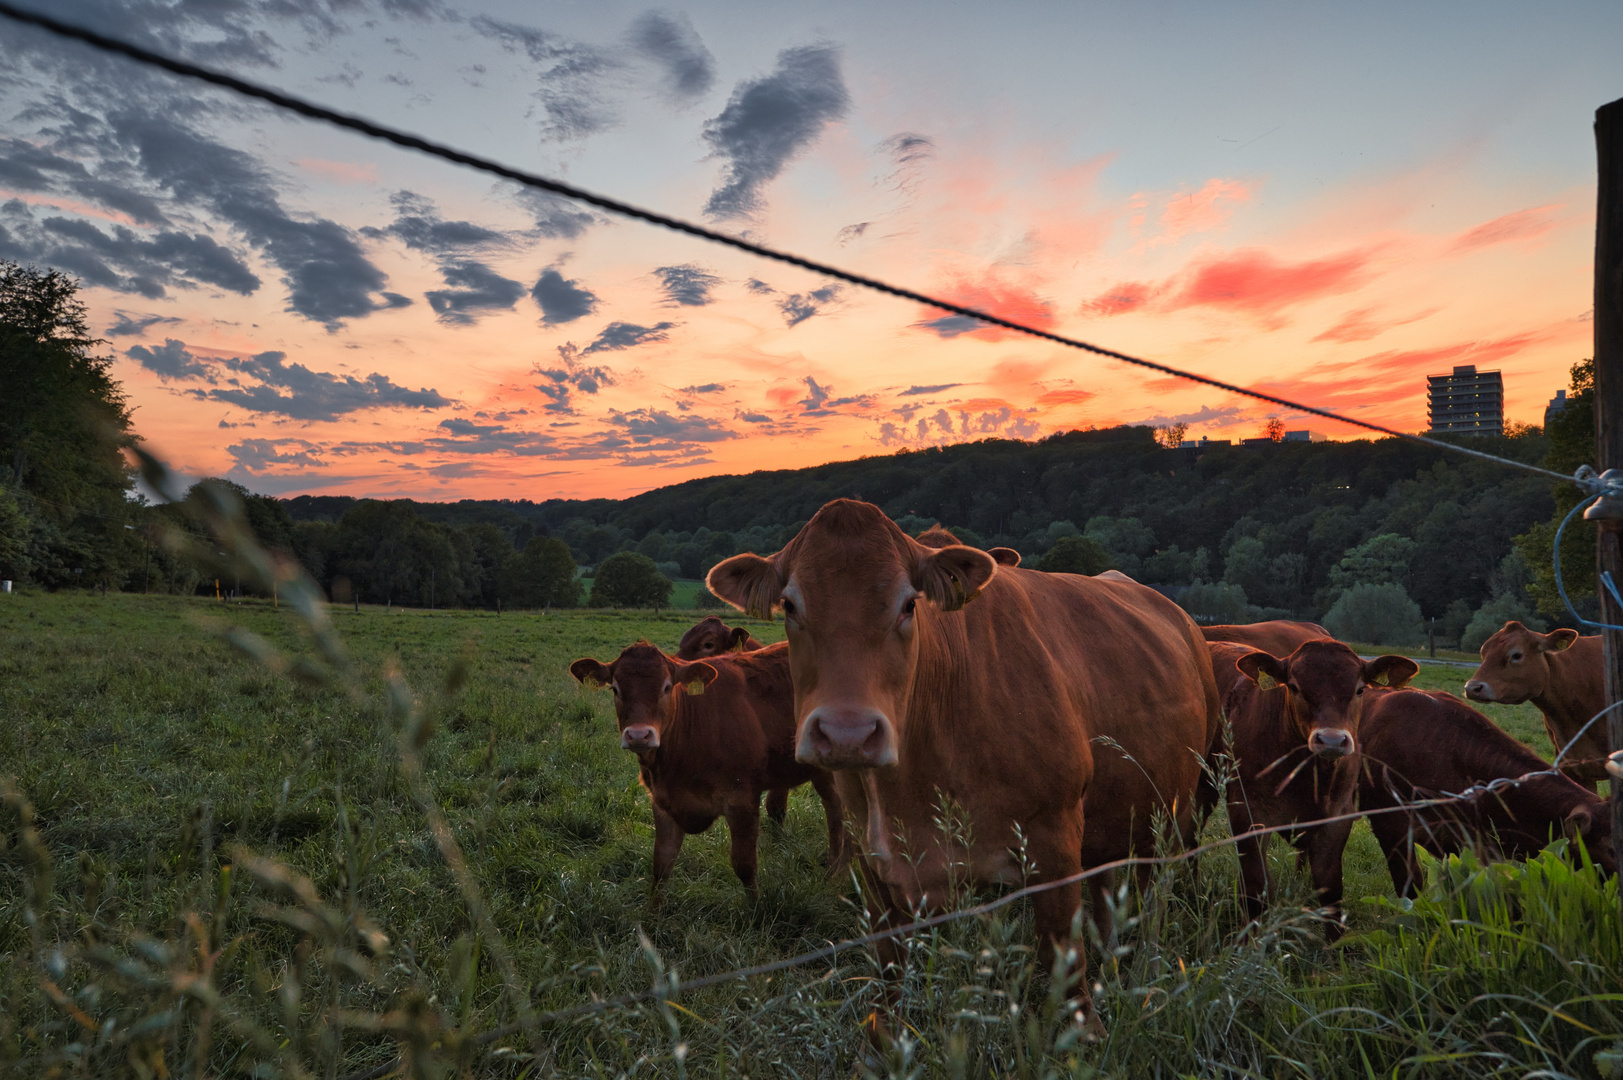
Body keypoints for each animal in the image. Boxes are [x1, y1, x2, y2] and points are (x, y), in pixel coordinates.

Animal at [571, 639, 850, 889]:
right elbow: (661, 867)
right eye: (615, 689)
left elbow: (744, 867)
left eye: (666, 687)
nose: (639, 735)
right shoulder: (663, 802)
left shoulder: (742, 801)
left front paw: (757, 911)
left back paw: (835, 871)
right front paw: (653, 913)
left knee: (840, 812)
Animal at [710, 496, 1220, 1039]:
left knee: (1155, 900)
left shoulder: (1056, 842)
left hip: (1172, 818)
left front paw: (1089, 1035)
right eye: (790, 605)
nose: (848, 733)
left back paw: (1147, 976)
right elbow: (888, 974)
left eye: (909, 604)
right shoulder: (873, 859)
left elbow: (1064, 962)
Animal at [1220, 636, 1421, 928]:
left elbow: (1330, 890)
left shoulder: (1337, 817)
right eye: (1294, 687)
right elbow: (1257, 888)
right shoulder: (1246, 812)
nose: (1332, 740)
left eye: (1360, 689)